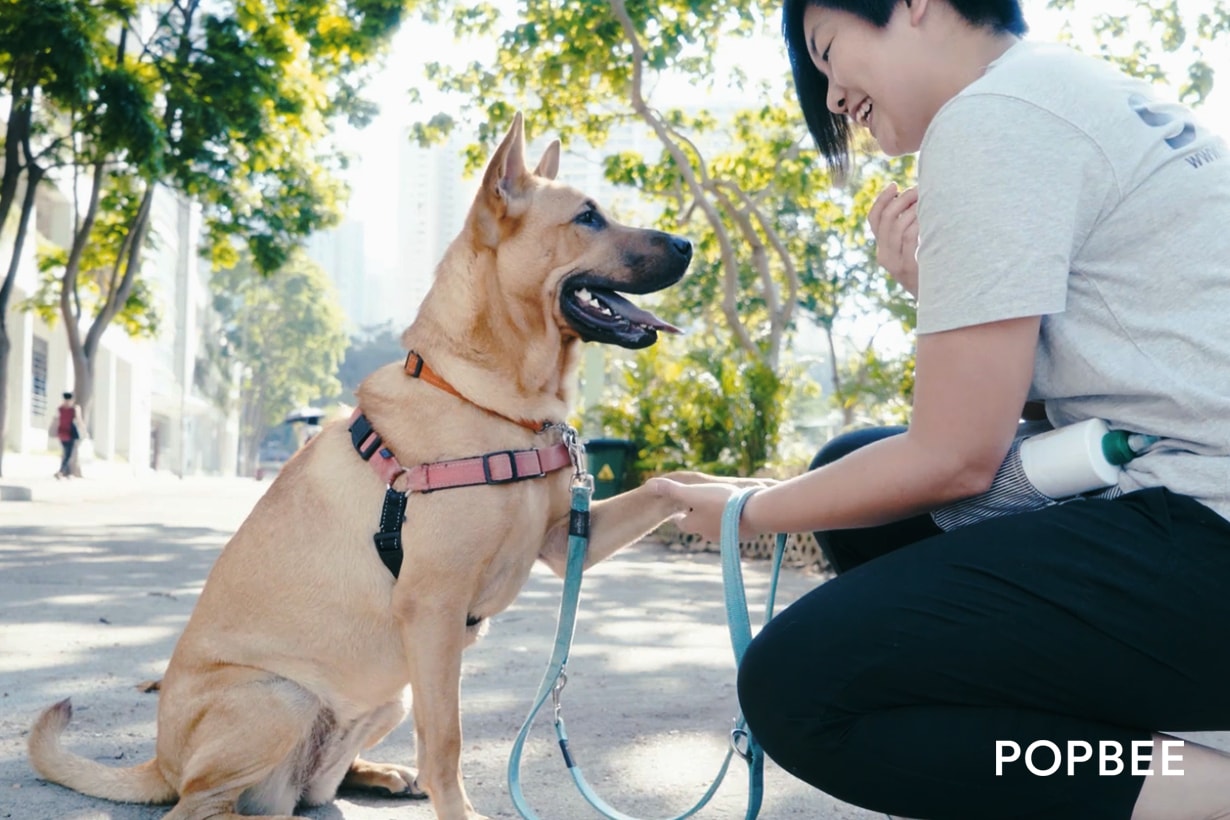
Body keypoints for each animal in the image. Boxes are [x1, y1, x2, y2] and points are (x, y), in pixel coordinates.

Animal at [31, 113, 693, 820]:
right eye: (589, 217)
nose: (686, 244)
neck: (488, 398)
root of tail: (162, 760)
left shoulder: (563, 539)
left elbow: (662, 484)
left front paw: (722, 491)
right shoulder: (433, 612)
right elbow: (447, 743)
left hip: (384, 700)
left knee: (313, 787)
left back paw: (378, 774)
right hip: (280, 698)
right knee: (200, 805)